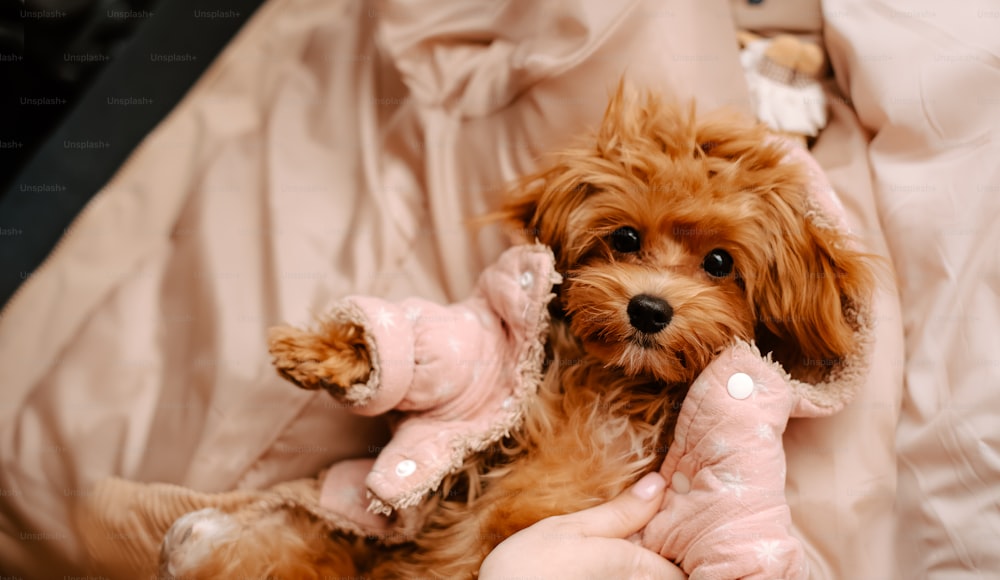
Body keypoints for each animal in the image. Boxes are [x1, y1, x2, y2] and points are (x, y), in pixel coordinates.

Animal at [160, 87, 872, 580]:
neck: (618, 387)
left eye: (720, 263)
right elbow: (451, 354)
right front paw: (337, 354)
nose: (648, 309)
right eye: (625, 238)